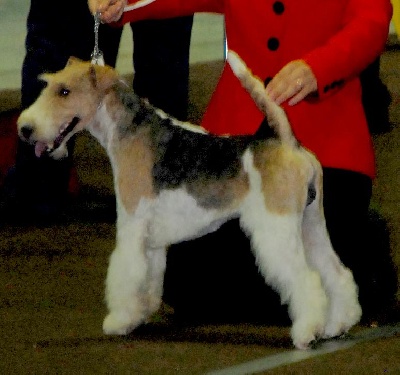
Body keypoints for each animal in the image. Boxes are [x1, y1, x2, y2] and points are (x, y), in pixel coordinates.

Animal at [17, 50, 360, 350]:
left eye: (64, 91)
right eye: (49, 86)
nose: (25, 129)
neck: (129, 132)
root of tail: (288, 142)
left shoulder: (131, 223)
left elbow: (125, 274)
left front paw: (118, 320)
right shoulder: (151, 239)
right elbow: (148, 278)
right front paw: (139, 314)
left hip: (276, 229)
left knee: (306, 279)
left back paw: (307, 332)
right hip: (310, 225)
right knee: (337, 273)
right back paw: (337, 324)